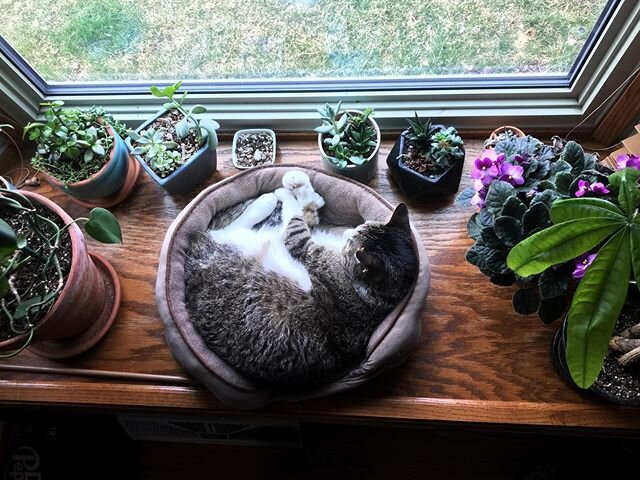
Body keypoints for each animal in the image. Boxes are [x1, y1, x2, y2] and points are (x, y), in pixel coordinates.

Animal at [182, 171, 418, 388]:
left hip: (236, 242)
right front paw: (299, 188)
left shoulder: (302, 246)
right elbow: (300, 217)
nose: (347, 232)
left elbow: (294, 219)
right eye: (358, 229)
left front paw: (287, 194)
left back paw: (267, 200)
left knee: (230, 228)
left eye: (352, 239)